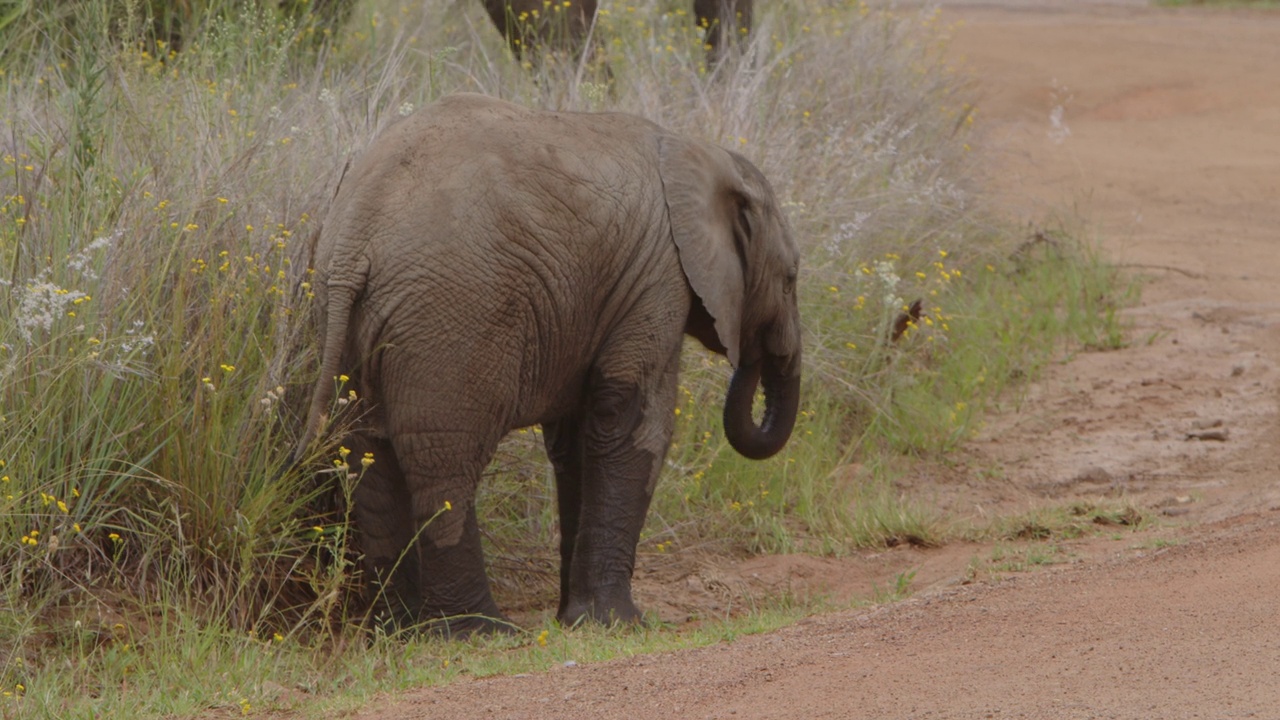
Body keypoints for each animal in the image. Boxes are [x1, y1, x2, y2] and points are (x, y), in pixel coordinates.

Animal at [299, 90, 798, 632]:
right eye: (791, 278)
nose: (752, 350)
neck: (702, 155)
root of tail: (354, 241)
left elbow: (576, 438)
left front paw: (577, 619)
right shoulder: (657, 276)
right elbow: (631, 423)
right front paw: (619, 623)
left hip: (350, 321)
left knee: (368, 455)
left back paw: (403, 629)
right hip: (453, 318)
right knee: (444, 459)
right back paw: (479, 631)